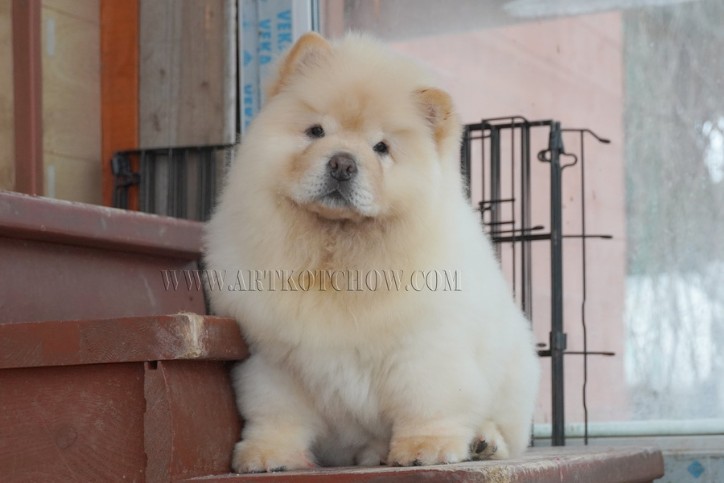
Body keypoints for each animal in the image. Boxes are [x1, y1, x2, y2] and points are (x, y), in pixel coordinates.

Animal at [204, 32, 539, 473]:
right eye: (316, 131)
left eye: (381, 147)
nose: (342, 164)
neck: (337, 250)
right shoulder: (274, 358)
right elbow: (276, 411)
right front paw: (270, 456)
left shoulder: (423, 349)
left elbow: (428, 402)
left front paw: (425, 449)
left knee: (506, 430)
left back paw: (482, 442)